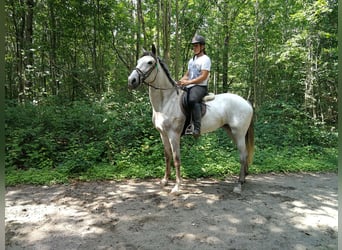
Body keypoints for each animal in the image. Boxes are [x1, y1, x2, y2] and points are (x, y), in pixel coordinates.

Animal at [128, 44, 254, 193]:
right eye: (138, 61)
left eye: (150, 62)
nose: (131, 80)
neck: (166, 101)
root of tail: (246, 102)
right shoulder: (163, 134)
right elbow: (167, 156)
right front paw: (165, 181)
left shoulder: (174, 135)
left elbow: (176, 158)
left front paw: (177, 186)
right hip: (231, 132)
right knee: (244, 154)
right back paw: (243, 179)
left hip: (239, 133)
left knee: (243, 155)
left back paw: (239, 185)